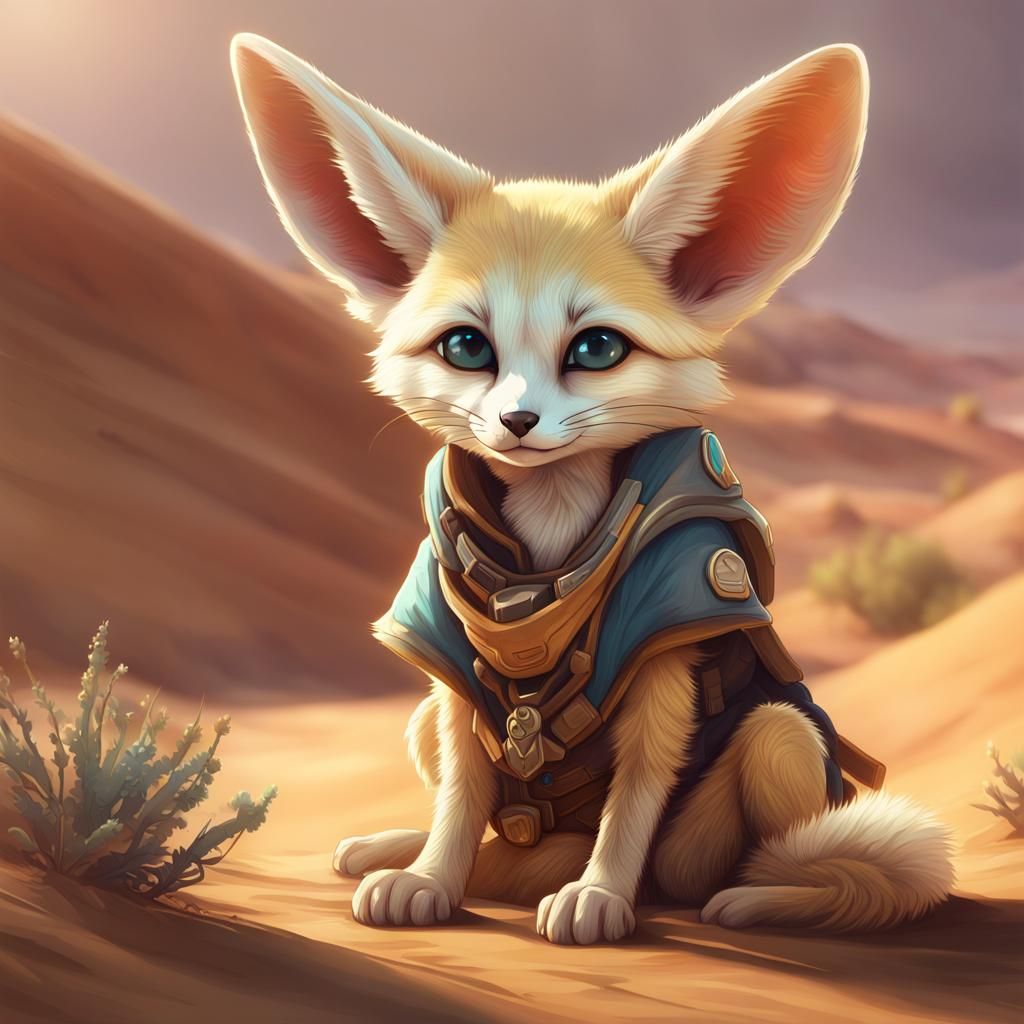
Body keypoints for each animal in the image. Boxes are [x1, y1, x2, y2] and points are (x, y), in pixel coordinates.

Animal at [230, 34, 954, 944]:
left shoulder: (673, 640)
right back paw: (410, 848)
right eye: (466, 347)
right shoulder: (450, 672)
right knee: (486, 821)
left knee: (749, 846)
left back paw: (746, 895)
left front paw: (600, 895)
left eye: (597, 349)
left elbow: (636, 791)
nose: (517, 421)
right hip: (429, 722)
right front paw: (430, 877)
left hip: (773, 742)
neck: (546, 546)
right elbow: (462, 792)